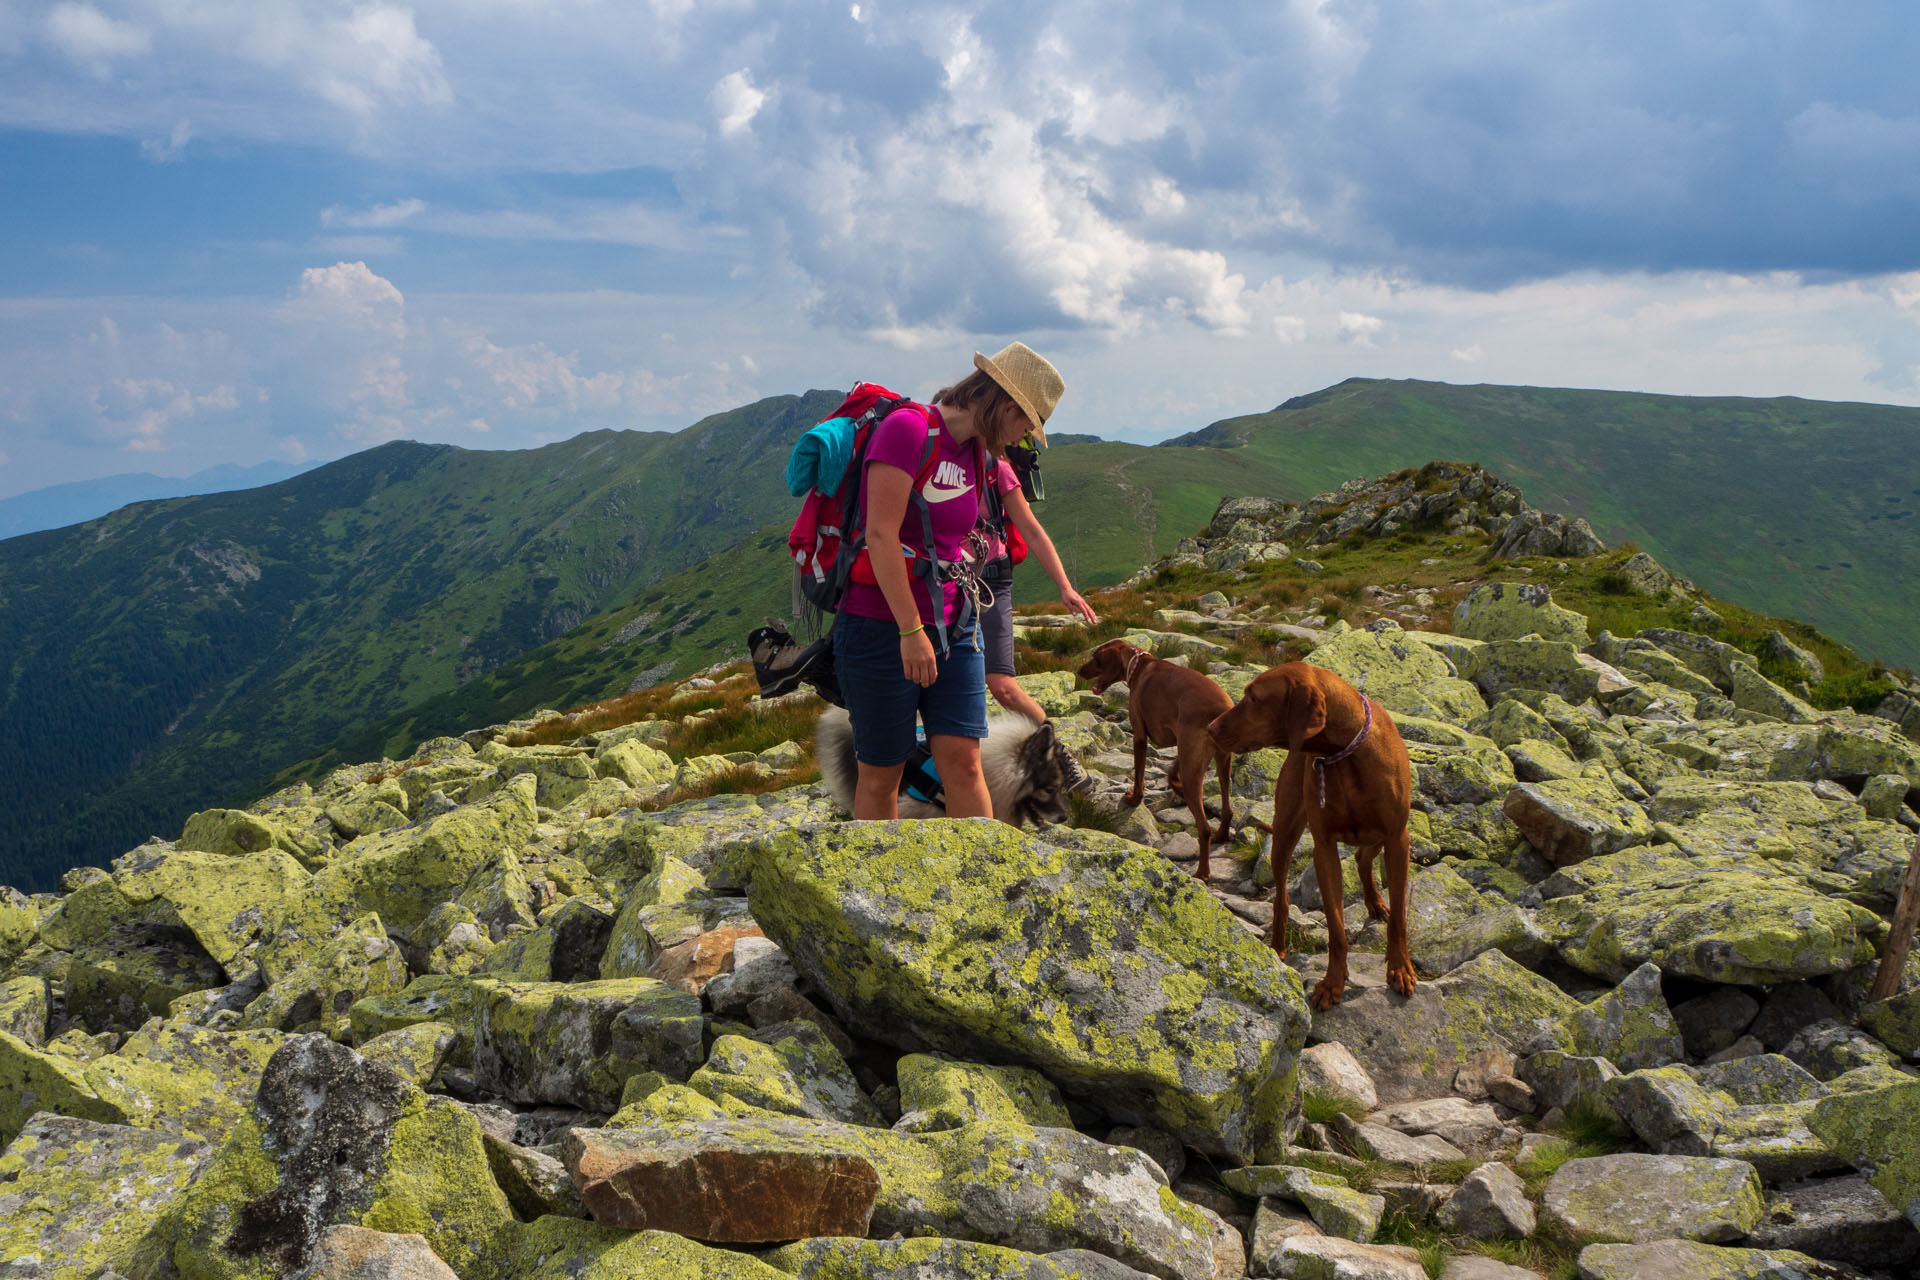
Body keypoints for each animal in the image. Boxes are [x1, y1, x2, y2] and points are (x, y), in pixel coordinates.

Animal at [1075, 640, 1236, 882]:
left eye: (1096, 658)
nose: (1078, 671)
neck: (1138, 664)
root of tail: (1222, 710)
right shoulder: (1181, 744)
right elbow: (1170, 773)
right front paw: (1175, 786)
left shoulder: (1140, 736)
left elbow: (1139, 775)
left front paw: (1134, 799)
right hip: (1222, 762)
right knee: (1227, 807)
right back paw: (1222, 834)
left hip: (1195, 772)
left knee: (1204, 828)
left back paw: (1202, 872)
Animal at [1205, 660, 1420, 1013]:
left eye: (1254, 698)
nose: (1209, 728)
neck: (1344, 753)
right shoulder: (1324, 848)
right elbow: (1336, 929)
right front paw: (1333, 984)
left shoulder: (1397, 839)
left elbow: (1399, 918)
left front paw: (1400, 968)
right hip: (1285, 833)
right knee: (1281, 898)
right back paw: (1278, 946)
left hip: (1379, 837)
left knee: (1362, 858)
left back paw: (1376, 904)